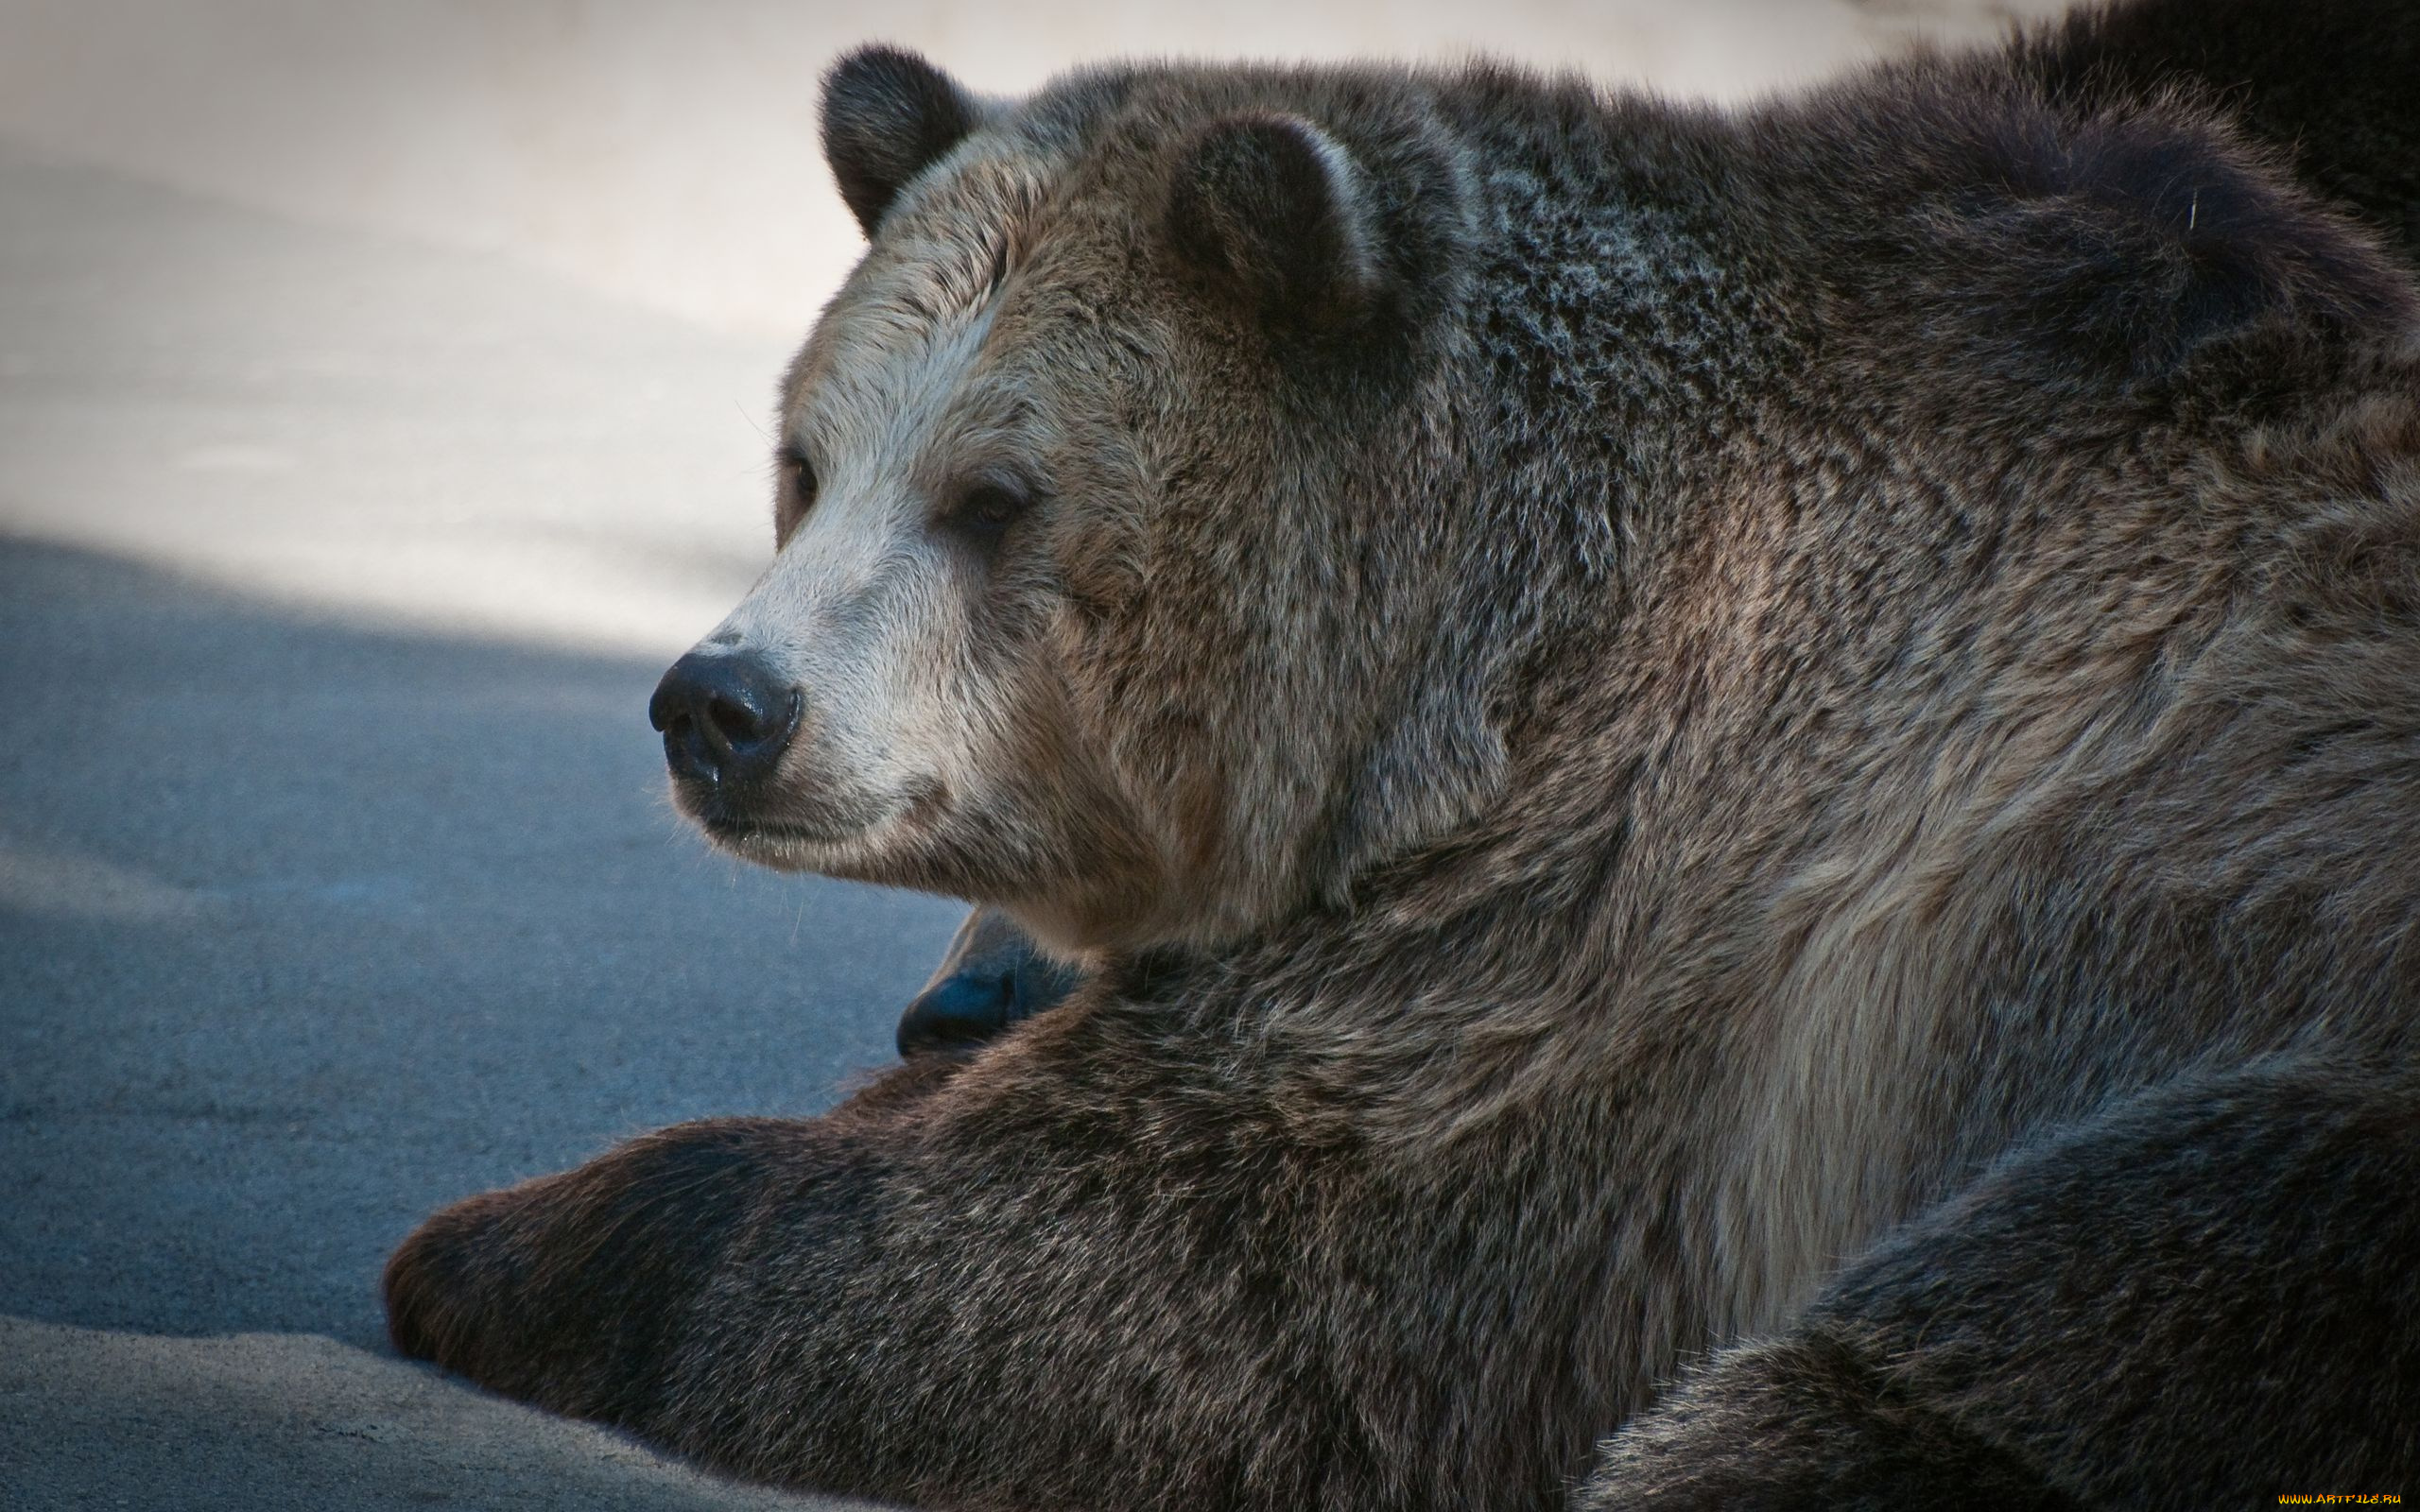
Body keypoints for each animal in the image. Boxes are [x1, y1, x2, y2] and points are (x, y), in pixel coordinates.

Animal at [387, 3, 2410, 1500]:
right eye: (808, 463)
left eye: (993, 496)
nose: (723, 705)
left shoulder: (1617, 929)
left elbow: (1147, 1267)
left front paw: (500, 1242)